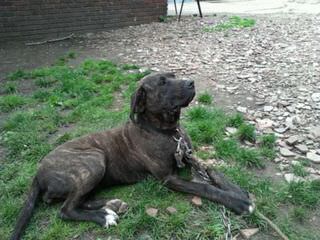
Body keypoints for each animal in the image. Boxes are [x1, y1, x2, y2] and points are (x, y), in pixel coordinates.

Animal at [11, 72, 254, 240]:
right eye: (162, 82)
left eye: (174, 76)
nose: (191, 83)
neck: (167, 131)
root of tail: (38, 172)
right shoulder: (168, 178)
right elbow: (204, 187)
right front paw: (238, 202)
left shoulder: (189, 156)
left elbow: (213, 171)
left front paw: (237, 191)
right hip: (94, 159)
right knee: (65, 209)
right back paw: (104, 216)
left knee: (78, 200)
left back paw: (112, 204)